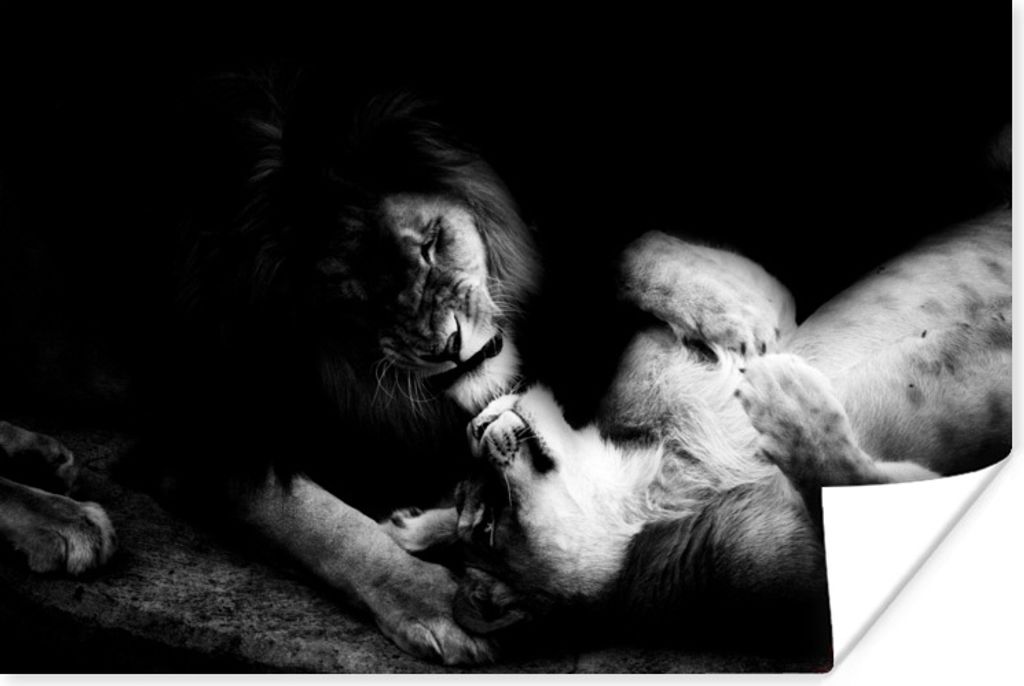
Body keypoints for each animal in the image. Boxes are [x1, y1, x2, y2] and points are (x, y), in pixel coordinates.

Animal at [381, 207, 1011, 654]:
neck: (661, 483)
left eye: (480, 508)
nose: (474, 429)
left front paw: (733, 320)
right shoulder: (808, 586)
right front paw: (785, 398)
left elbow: (633, 248)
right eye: (487, 525)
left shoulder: (774, 305)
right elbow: (846, 476)